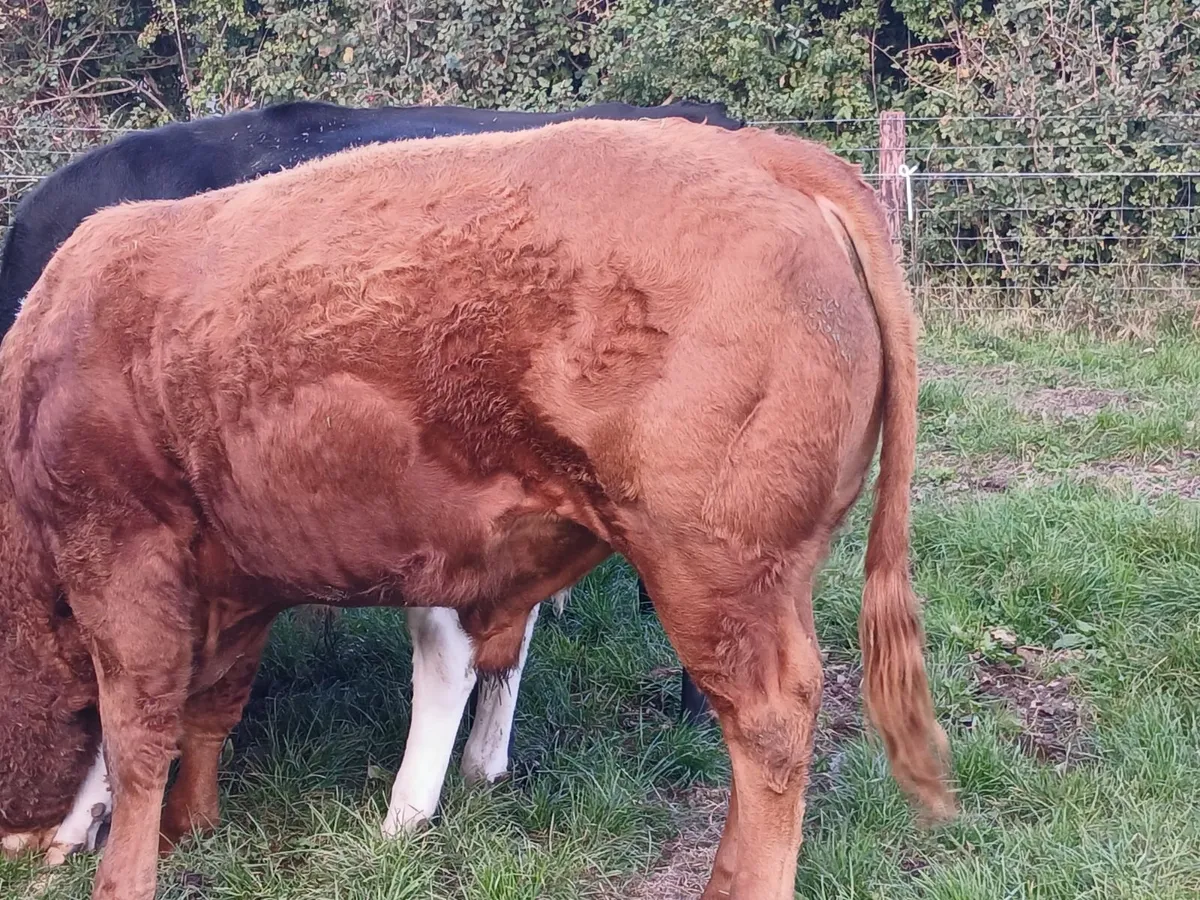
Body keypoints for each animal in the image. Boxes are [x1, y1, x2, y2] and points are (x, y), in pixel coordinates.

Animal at [0, 117, 955, 900]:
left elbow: (134, 724)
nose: (18, 842)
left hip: (717, 570)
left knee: (768, 722)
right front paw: (188, 824)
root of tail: (770, 155)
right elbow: (207, 703)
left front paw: (117, 861)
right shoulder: (233, 572)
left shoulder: (121, 552)